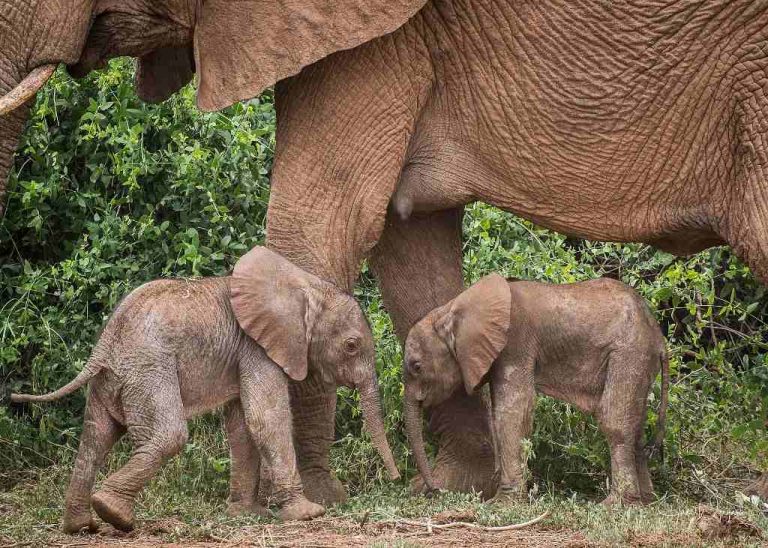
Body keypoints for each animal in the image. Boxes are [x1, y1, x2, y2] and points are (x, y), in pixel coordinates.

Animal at [10, 246, 399, 533]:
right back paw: (114, 514)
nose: (397, 479)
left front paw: (247, 515)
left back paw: (81, 526)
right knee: (167, 435)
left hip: (114, 378)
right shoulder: (257, 348)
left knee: (95, 438)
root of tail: (105, 343)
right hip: (148, 368)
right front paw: (307, 514)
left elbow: (242, 425)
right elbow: (266, 418)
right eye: (351, 346)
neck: (303, 286)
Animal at [402, 274, 670, 505]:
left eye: (416, 366)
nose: (434, 490)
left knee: (614, 420)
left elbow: (512, 412)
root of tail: (659, 338)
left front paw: (501, 503)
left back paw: (614, 505)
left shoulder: (515, 343)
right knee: (636, 424)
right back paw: (645, 501)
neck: (452, 309)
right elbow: (500, 411)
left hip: (629, 352)